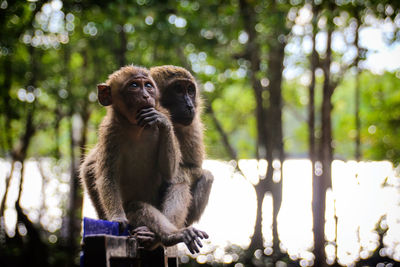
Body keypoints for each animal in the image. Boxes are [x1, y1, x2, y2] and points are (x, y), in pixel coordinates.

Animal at [150, 65, 214, 226]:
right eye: (178, 90)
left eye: (190, 90)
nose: (190, 105)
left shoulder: (193, 129)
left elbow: (194, 168)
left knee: (206, 176)